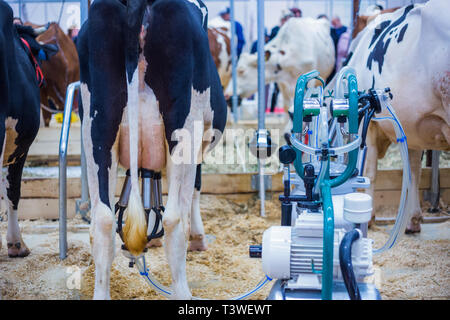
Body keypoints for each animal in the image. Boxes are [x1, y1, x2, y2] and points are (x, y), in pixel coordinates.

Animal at [75, 0, 227, 300]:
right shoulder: (199, 143)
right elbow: (195, 189)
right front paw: (199, 239)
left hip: (96, 127)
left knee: (103, 220)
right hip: (183, 124)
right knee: (174, 219)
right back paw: (183, 293)